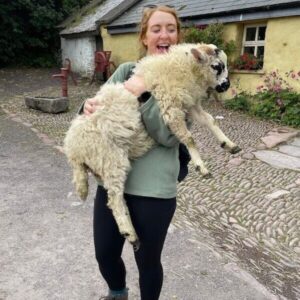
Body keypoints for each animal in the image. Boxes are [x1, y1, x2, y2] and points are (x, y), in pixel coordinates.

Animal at [63, 43, 241, 250]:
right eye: (217, 66)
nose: (226, 86)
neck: (184, 68)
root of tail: (74, 151)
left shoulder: (189, 105)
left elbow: (210, 121)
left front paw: (229, 144)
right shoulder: (170, 106)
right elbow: (189, 139)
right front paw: (201, 166)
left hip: (103, 163)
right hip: (111, 158)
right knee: (114, 199)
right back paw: (130, 234)